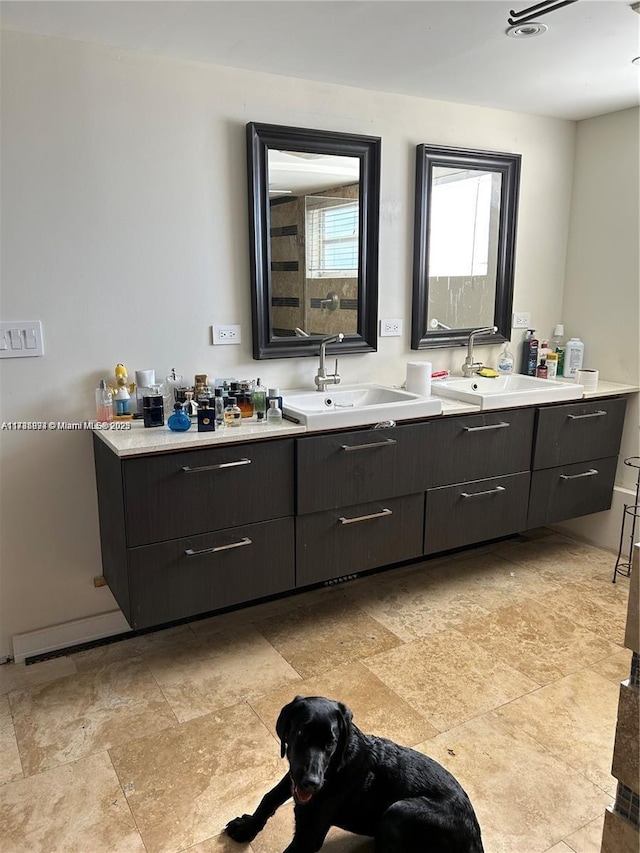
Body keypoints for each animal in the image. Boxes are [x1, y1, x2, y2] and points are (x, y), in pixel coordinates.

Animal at [225, 696, 480, 848]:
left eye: (331, 742)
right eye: (300, 734)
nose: (312, 783)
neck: (335, 767)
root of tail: (475, 838)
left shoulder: (309, 835)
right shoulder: (294, 775)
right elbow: (270, 797)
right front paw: (247, 827)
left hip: (398, 811)